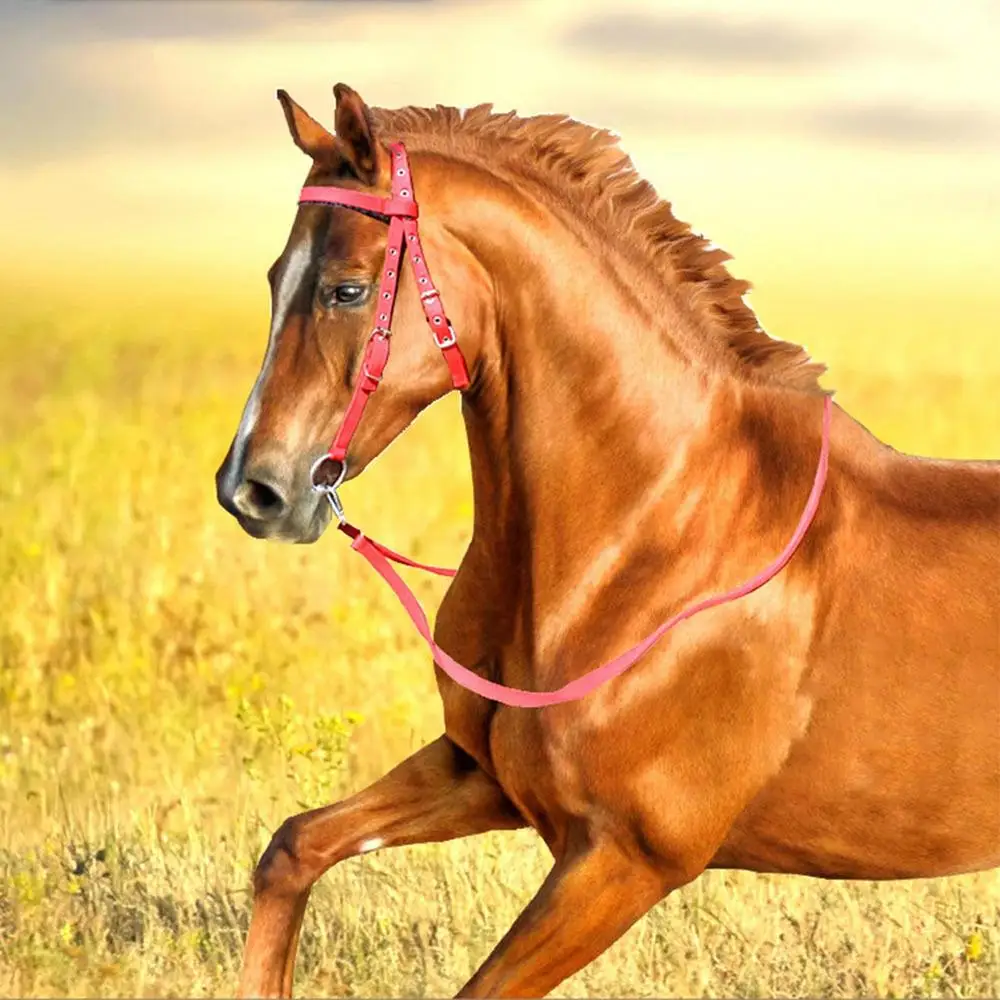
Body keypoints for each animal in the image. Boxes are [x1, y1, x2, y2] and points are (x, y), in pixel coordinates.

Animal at [215, 84, 1000, 998]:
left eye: (346, 289)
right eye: (277, 278)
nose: (253, 489)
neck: (654, 535)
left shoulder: (625, 860)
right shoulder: (482, 775)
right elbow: (292, 848)